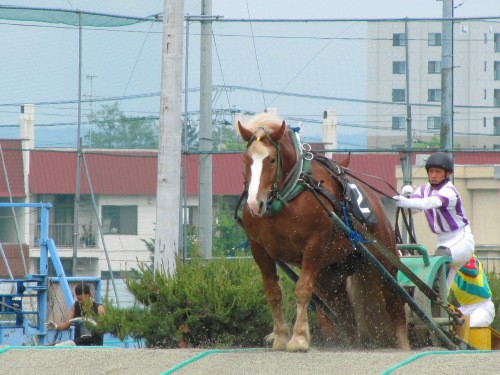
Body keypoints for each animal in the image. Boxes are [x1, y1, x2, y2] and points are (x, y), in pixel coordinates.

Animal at [236, 113, 408, 354]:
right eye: (246, 159)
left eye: (271, 160)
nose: (254, 203)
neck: (287, 199)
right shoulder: (259, 249)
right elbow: (273, 292)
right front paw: (281, 337)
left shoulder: (314, 246)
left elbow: (303, 290)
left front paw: (299, 338)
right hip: (333, 272)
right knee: (345, 314)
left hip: (383, 262)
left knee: (395, 304)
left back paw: (403, 346)